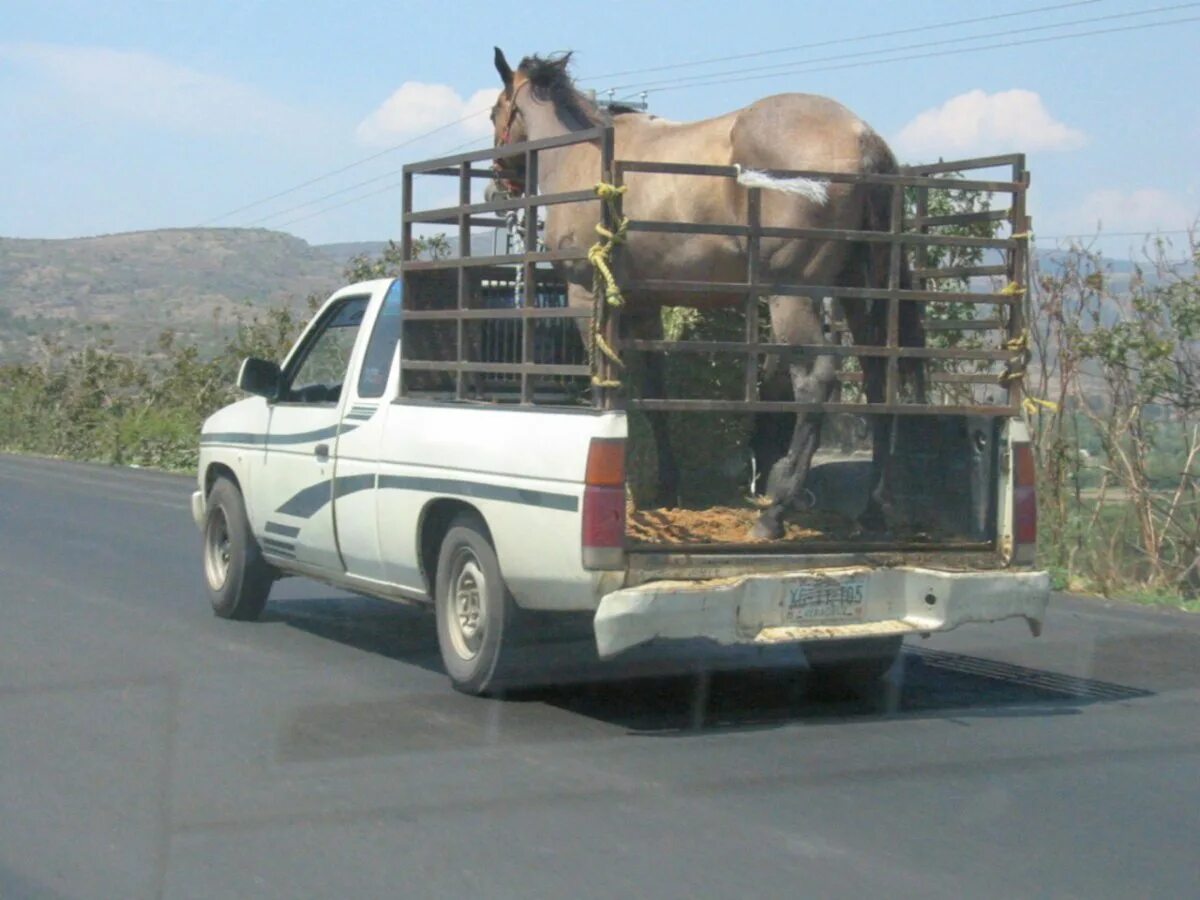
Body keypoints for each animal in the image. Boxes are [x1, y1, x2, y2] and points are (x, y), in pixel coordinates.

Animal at [487, 49, 916, 540]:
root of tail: (861, 137)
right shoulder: (644, 307)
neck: (583, 152)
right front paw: (666, 486)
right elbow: (652, 392)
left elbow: (606, 383)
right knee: (878, 379)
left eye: (495, 111)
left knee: (815, 381)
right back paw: (875, 511)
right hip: (860, 294)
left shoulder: (583, 297)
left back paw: (775, 512)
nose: (496, 185)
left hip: (791, 294)